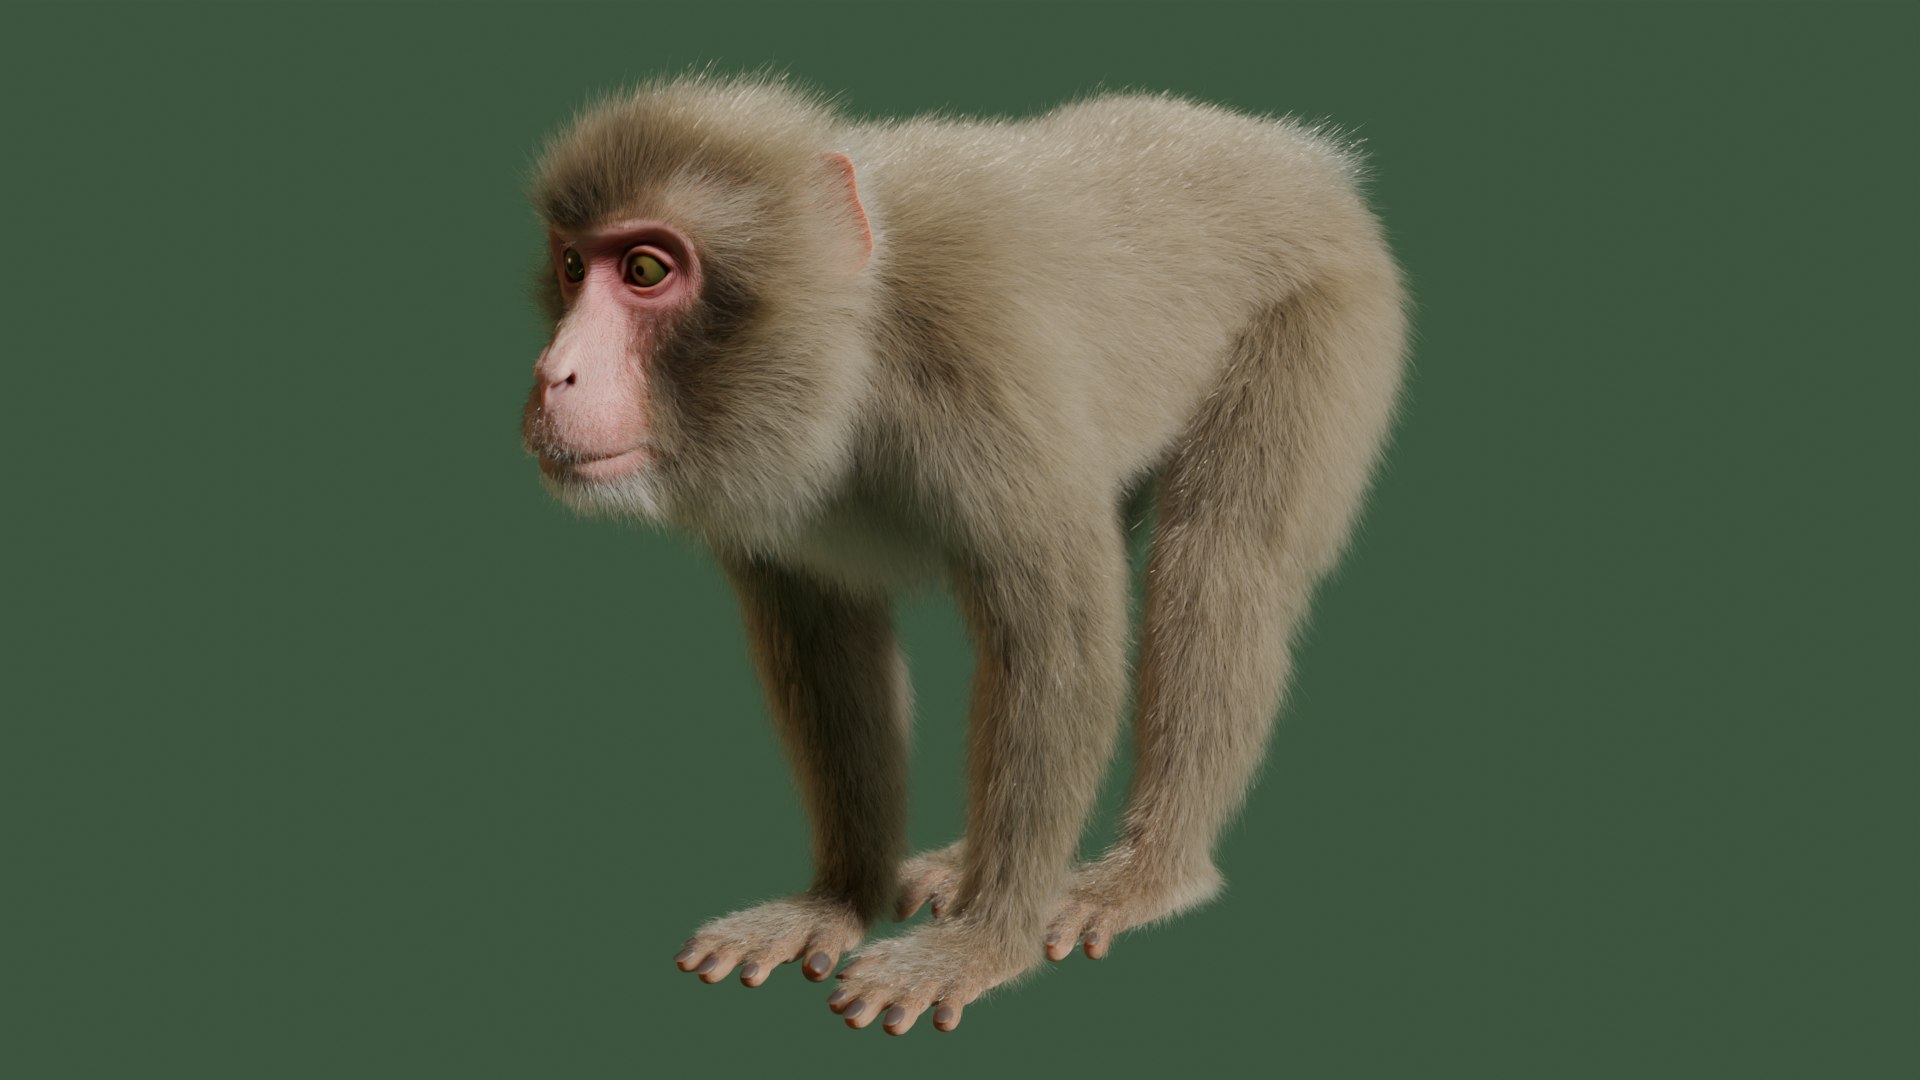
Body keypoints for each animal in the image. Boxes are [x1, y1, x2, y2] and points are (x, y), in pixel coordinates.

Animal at [521, 74, 1407, 1035]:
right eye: (573, 267)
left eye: (646, 270)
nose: (552, 373)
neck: (859, 338)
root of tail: (1298, 154)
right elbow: (825, 641)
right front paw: (837, 899)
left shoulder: (978, 355)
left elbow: (1058, 641)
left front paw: (985, 944)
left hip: (1331, 304)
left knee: (1221, 560)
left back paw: (1148, 874)